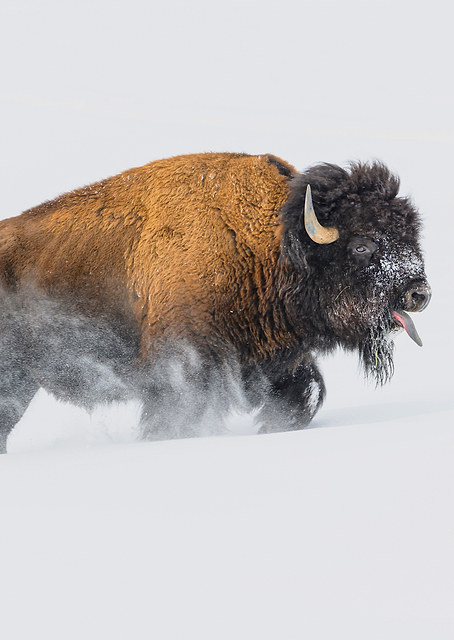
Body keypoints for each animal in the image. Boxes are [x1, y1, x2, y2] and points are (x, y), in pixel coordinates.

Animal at [0, 152, 430, 452]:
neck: (269, 246)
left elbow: (304, 395)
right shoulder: (184, 368)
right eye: (362, 244)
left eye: (411, 235)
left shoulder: (276, 361)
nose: (419, 293)